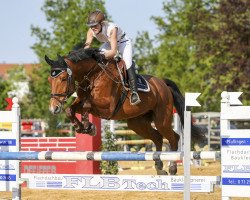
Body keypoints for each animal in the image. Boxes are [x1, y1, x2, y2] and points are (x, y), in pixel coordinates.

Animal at [45, 48, 205, 175]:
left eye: (63, 78)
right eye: (49, 80)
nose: (53, 108)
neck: (93, 75)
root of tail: (163, 84)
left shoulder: (106, 107)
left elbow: (87, 105)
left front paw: (88, 126)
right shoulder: (81, 101)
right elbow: (70, 110)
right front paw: (83, 127)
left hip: (162, 120)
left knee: (173, 138)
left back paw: (172, 168)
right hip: (137, 124)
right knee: (158, 138)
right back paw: (159, 167)